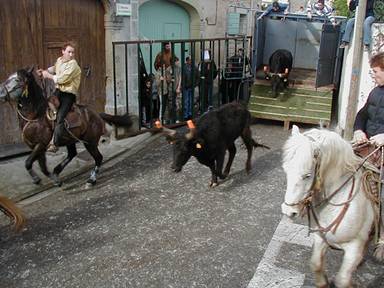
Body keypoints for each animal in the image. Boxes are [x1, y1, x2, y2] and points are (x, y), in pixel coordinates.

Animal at [0, 68, 133, 187]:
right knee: (72, 154)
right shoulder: (36, 146)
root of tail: (97, 114)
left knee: (98, 158)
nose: (0, 92)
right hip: (71, 140)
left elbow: (28, 162)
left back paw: (91, 180)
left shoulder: (41, 144)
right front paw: (52, 179)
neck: (36, 115)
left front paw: (37, 179)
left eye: (17, 79)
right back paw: (57, 171)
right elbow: (42, 166)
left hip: (90, 142)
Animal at [280, 125, 382, 288]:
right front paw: (324, 282)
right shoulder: (320, 239)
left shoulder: (354, 247)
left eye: (307, 175)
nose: (288, 211)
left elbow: (342, 280)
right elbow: (316, 264)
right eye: (286, 170)